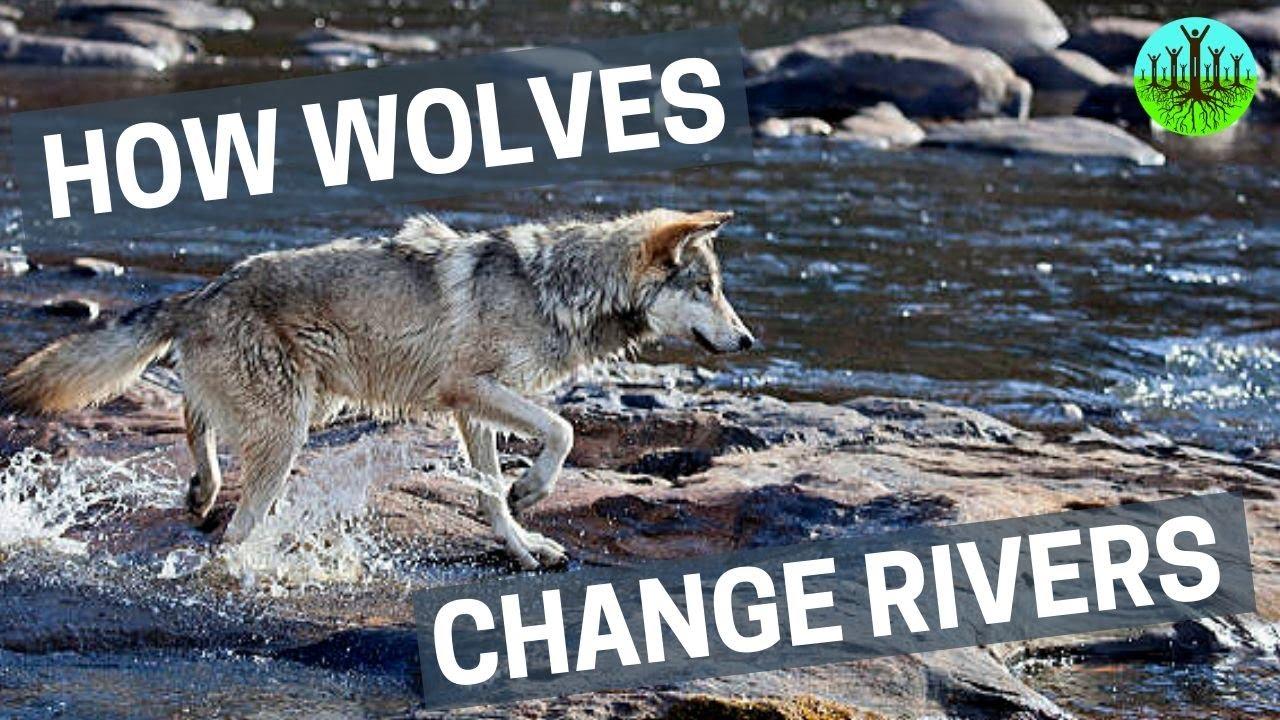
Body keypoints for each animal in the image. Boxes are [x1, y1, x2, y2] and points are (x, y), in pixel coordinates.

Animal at [3, 209, 754, 568]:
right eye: (707, 288)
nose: (747, 341)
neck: (560, 289)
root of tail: (200, 293)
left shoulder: (471, 411)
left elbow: (491, 498)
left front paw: (521, 544)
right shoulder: (469, 389)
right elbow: (562, 432)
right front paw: (532, 492)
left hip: (308, 407)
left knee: (195, 418)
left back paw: (200, 491)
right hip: (290, 429)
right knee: (236, 525)